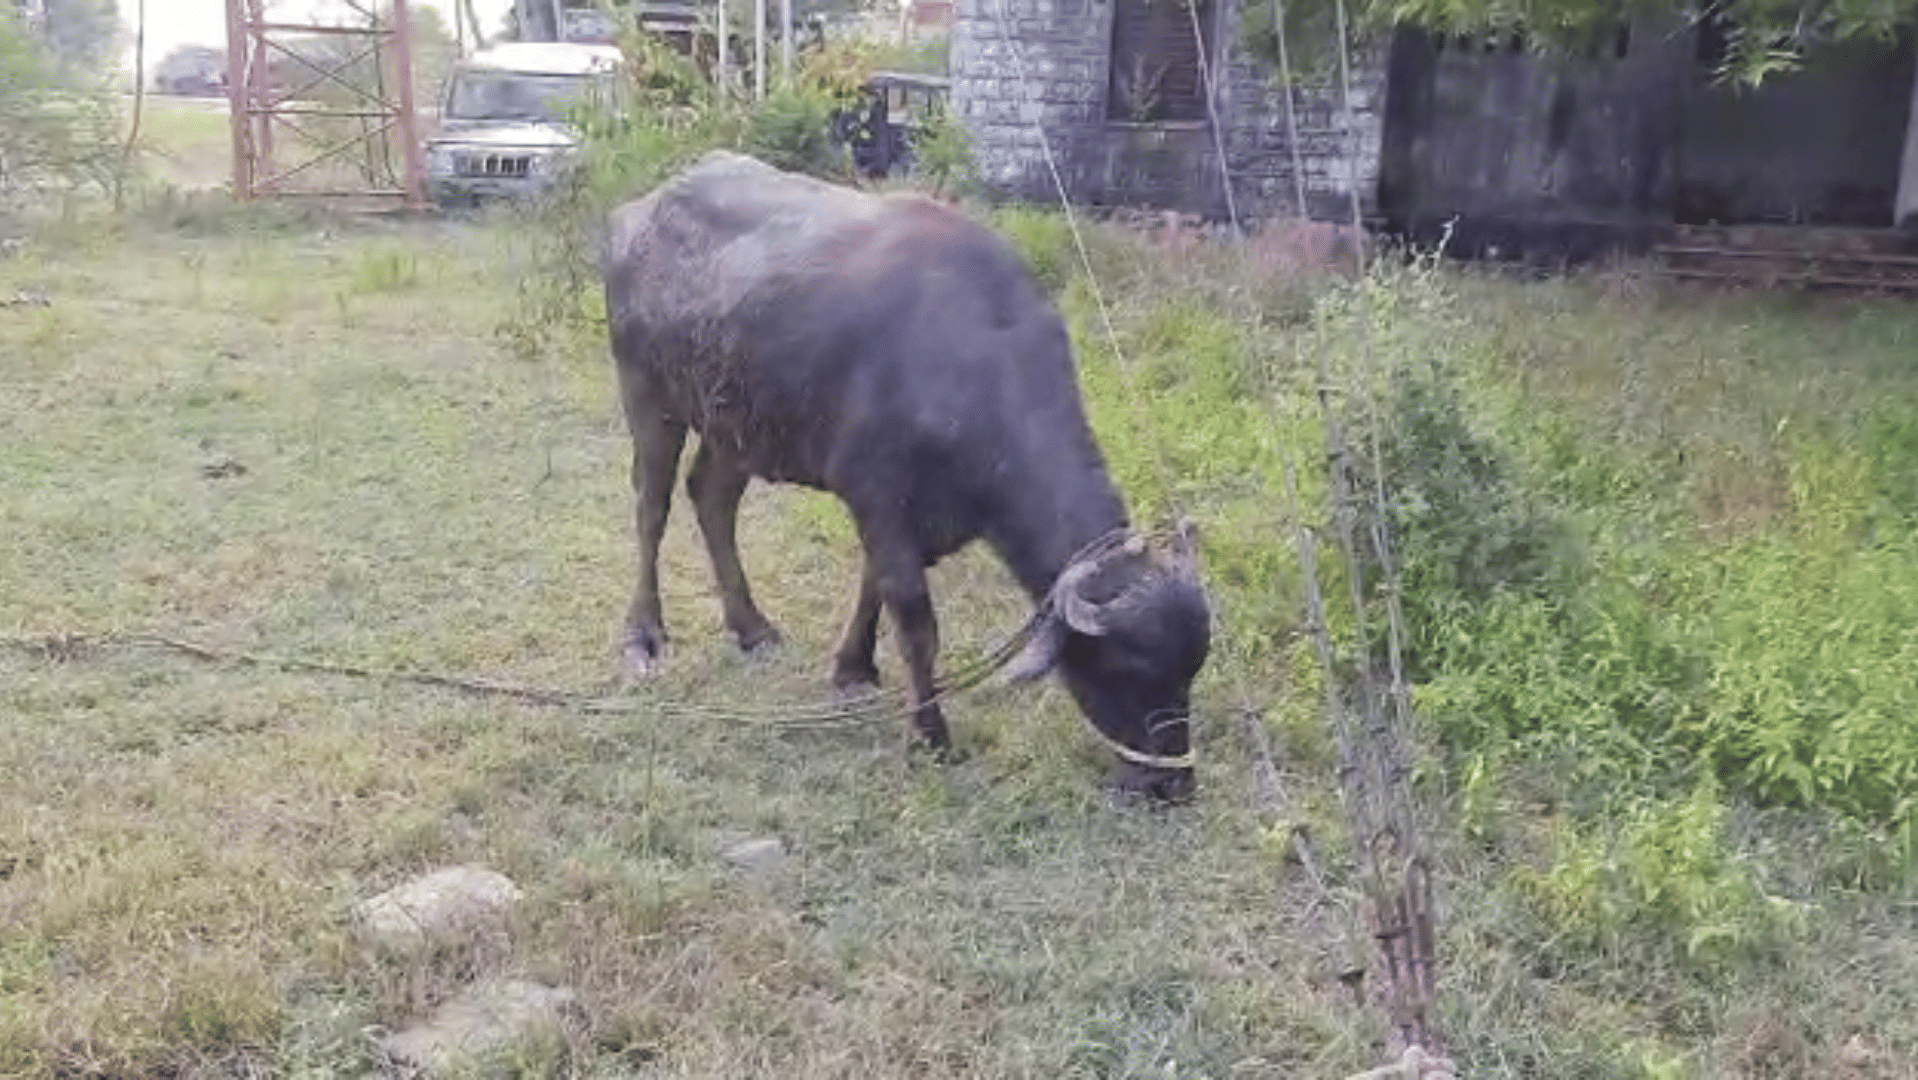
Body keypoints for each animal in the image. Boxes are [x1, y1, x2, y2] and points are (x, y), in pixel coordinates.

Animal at [601, 150, 1211, 800]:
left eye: (1192, 667)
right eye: (1130, 667)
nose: (1174, 783)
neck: (968, 371)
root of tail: (638, 213)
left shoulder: (907, 516)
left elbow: (875, 588)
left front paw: (853, 668)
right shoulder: (878, 496)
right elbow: (915, 619)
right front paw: (930, 734)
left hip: (736, 425)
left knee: (712, 497)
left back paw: (751, 627)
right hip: (648, 398)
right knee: (652, 507)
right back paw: (644, 636)